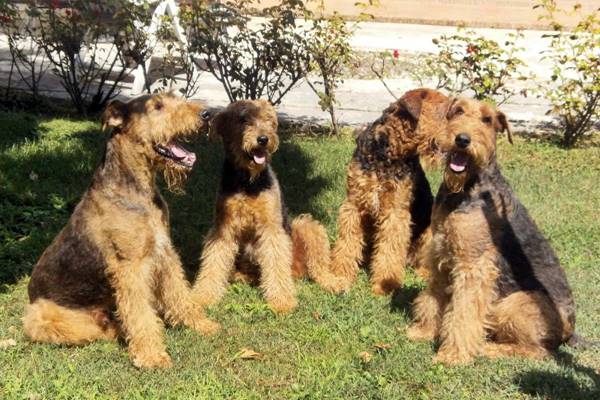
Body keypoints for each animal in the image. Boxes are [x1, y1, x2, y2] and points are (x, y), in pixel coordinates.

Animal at [24, 93, 220, 368]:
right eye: (157, 106)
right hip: (41, 317)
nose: (206, 114)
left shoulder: (165, 253)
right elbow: (140, 313)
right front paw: (152, 356)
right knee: (94, 329)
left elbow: (180, 294)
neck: (140, 190)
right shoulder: (130, 267)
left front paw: (202, 324)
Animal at [192, 99, 342, 312]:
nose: (263, 139)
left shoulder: (271, 227)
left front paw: (282, 300)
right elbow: (214, 262)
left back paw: (333, 283)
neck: (248, 181)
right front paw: (202, 297)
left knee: (317, 267)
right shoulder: (223, 228)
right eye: (243, 119)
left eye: (269, 119)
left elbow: (275, 260)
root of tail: (296, 274)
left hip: (306, 226)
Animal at [328, 89, 450, 296]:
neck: (388, 153)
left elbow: (389, 250)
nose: (463, 140)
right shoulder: (353, 206)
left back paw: (424, 274)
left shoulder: (395, 212)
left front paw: (385, 285)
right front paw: (340, 277)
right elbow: (347, 243)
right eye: (443, 113)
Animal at [408, 97, 576, 366]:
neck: (465, 189)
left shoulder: (474, 265)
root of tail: (571, 333)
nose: (462, 139)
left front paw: (453, 355)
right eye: (458, 110)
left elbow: (464, 313)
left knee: (539, 352)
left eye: (487, 119)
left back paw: (489, 349)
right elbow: (434, 297)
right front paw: (424, 331)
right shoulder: (441, 251)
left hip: (514, 303)